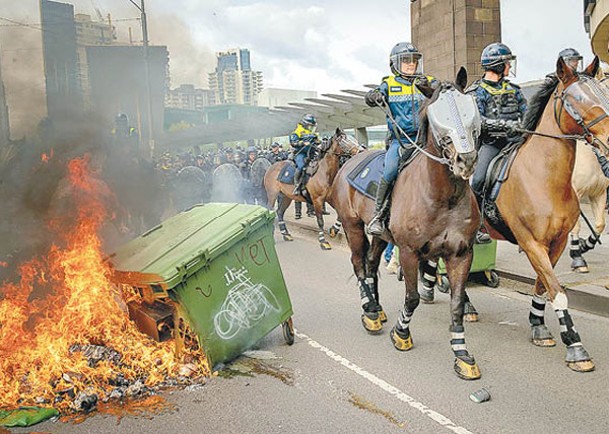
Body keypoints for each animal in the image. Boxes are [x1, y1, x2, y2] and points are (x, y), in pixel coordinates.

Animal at [328, 68, 484, 380]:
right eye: (437, 116)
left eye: (468, 108)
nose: (466, 160)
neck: (443, 197)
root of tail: (351, 161)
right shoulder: (410, 252)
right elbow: (412, 297)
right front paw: (401, 334)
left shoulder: (461, 253)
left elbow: (457, 304)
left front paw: (462, 355)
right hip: (352, 227)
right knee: (359, 264)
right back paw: (370, 312)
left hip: (379, 235)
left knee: (371, 264)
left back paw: (377, 307)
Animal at [568, 142, 604, 272]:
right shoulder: (576, 195)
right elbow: (576, 226)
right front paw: (577, 258)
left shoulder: (599, 193)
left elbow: (600, 224)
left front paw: (584, 245)